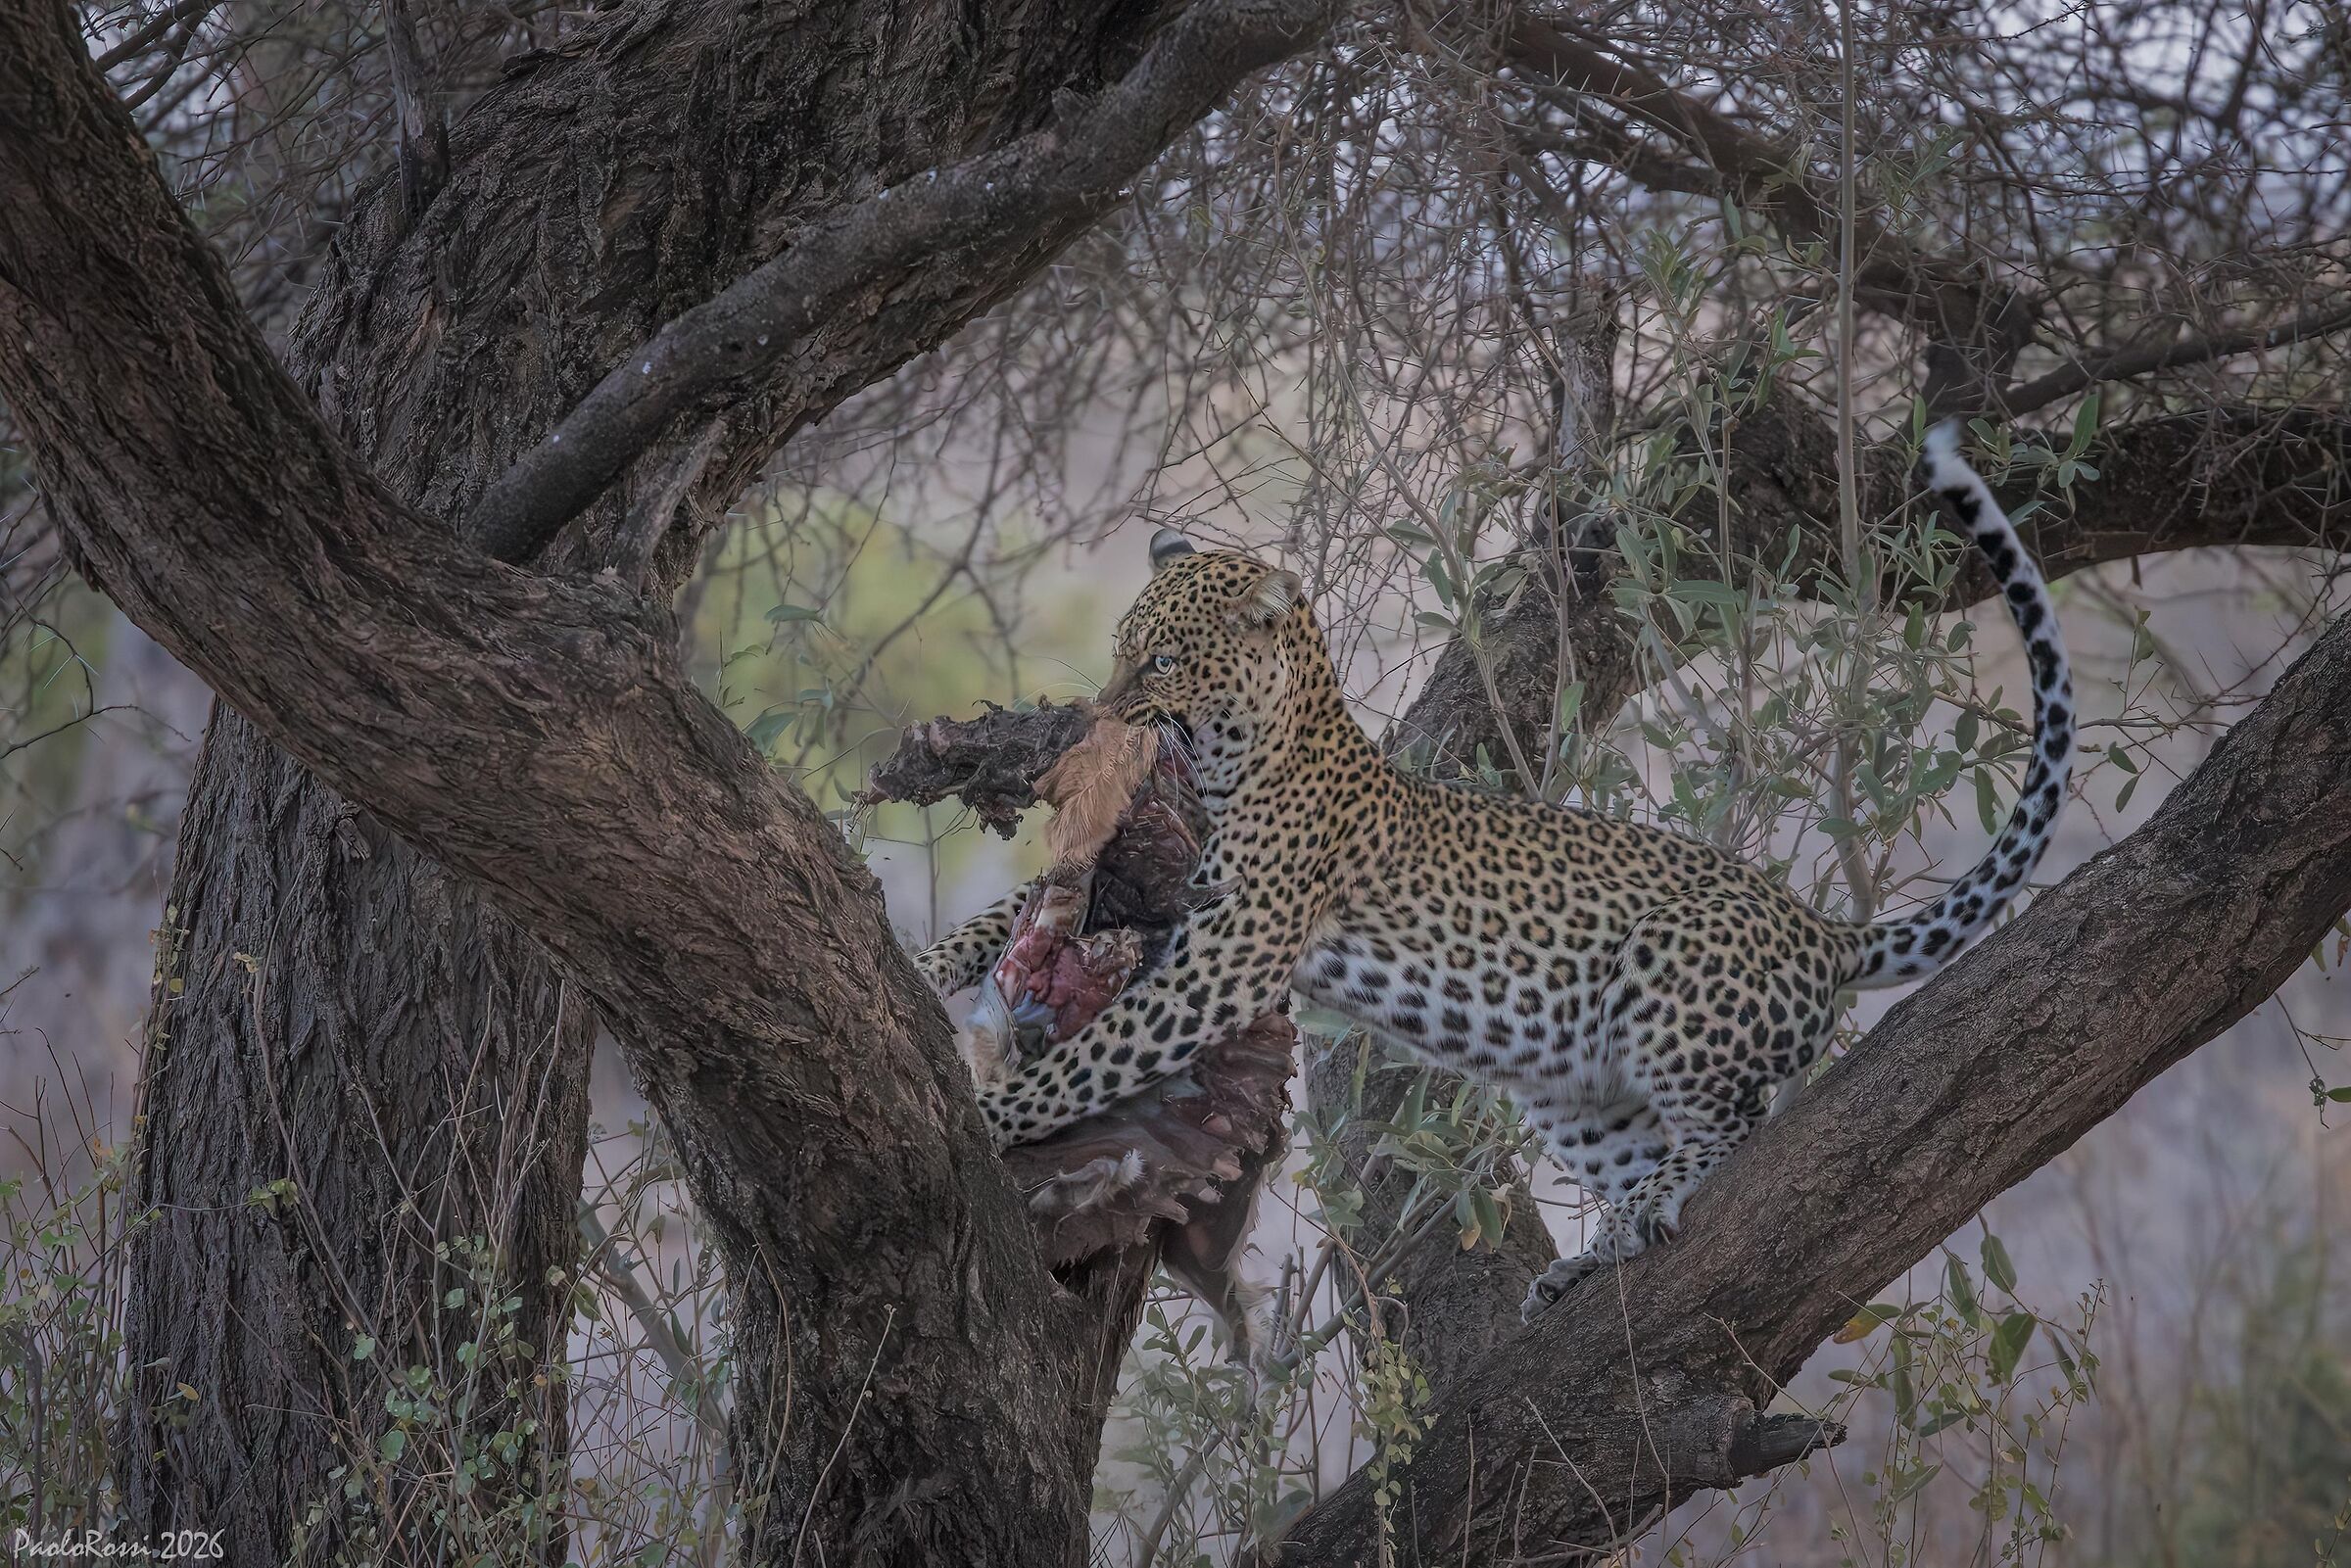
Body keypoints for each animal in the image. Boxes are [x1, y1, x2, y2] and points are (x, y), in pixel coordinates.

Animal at [921, 423, 2074, 1321]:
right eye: (1122, 645)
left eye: (1160, 658)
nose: (1102, 712)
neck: (1231, 754)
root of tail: (1826, 930)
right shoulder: (1163, 904)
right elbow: (1004, 917)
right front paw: (929, 965)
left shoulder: (1230, 953)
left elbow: (1096, 1055)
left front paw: (999, 1112)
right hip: (1582, 1092)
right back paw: (1594, 1256)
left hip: (1671, 975)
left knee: (1737, 1124)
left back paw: (1658, 1200)